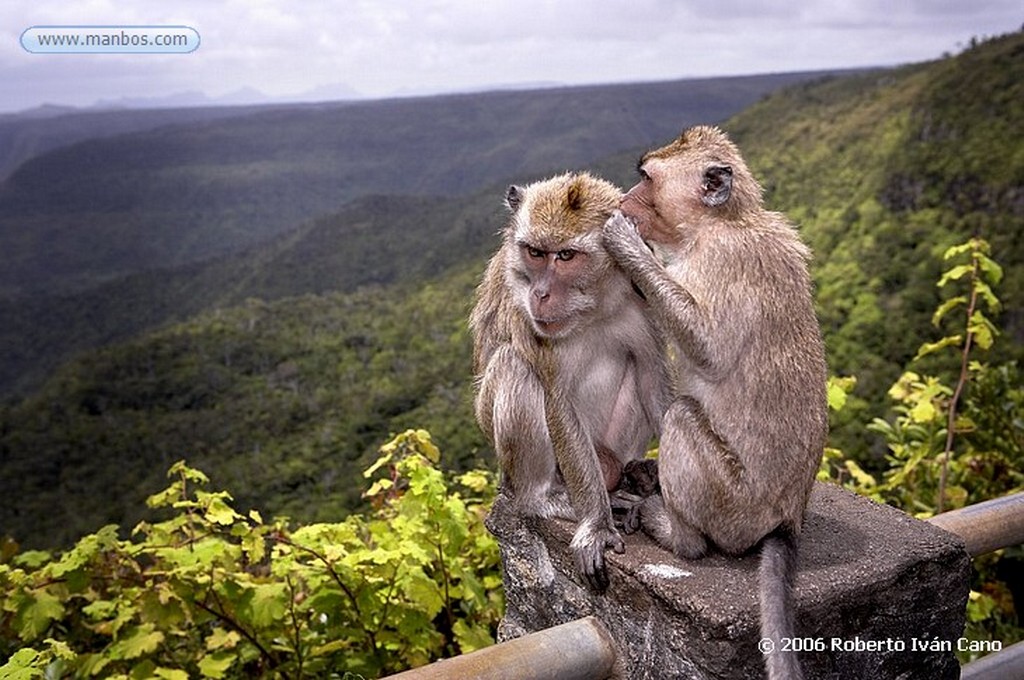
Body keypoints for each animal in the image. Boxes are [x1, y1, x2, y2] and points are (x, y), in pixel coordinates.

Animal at [471, 173, 663, 593]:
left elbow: (651, 376)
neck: (594, 309)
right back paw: (542, 499)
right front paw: (596, 525)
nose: (541, 294)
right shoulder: (529, 319)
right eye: (535, 253)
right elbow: (557, 401)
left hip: (611, 445)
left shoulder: (640, 293)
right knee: (515, 366)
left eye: (566, 256)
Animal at [602, 127, 827, 680]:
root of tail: (787, 519)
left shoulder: (720, 261)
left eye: (646, 179)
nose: (625, 199)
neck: (719, 222)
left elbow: (706, 347)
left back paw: (671, 529)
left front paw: (625, 243)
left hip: (730, 505)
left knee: (682, 418)